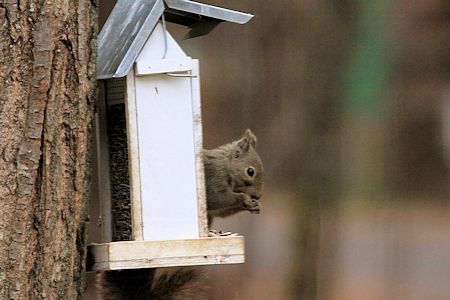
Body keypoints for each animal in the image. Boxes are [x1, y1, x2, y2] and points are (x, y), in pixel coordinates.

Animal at [100, 129, 262, 300]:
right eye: (250, 171)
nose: (258, 196)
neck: (226, 165)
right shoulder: (214, 177)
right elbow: (216, 199)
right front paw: (245, 199)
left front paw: (254, 205)